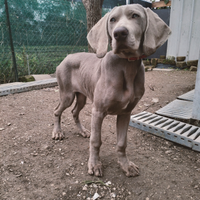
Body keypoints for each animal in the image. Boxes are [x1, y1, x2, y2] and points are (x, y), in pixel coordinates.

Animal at [52, 4, 171, 177]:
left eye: (135, 16)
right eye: (112, 20)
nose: (119, 33)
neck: (126, 65)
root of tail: (67, 56)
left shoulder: (126, 113)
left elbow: (122, 142)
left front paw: (125, 165)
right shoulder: (98, 111)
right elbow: (96, 141)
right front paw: (94, 165)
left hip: (82, 96)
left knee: (74, 112)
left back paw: (83, 131)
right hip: (67, 94)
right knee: (57, 111)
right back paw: (57, 132)